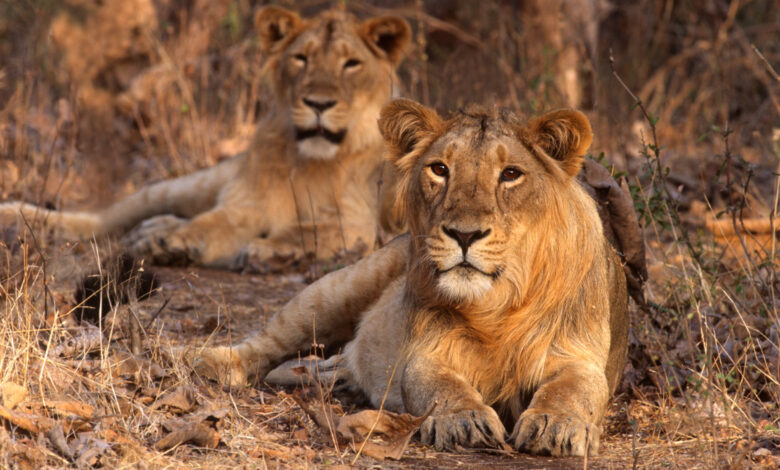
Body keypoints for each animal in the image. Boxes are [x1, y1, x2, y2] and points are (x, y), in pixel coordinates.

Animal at [0, 7, 410, 270]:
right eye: (301, 58)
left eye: (351, 64)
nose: (319, 104)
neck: (312, 160)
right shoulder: (246, 204)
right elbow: (211, 224)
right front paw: (174, 242)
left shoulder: (359, 223)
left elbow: (307, 230)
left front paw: (269, 251)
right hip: (188, 185)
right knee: (106, 219)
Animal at [193, 99, 629, 456]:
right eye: (440, 169)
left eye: (510, 174)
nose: (464, 235)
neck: (498, 305)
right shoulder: (426, 353)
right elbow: (439, 386)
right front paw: (462, 419)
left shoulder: (579, 355)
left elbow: (573, 389)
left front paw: (556, 424)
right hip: (337, 289)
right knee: (266, 343)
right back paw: (204, 360)